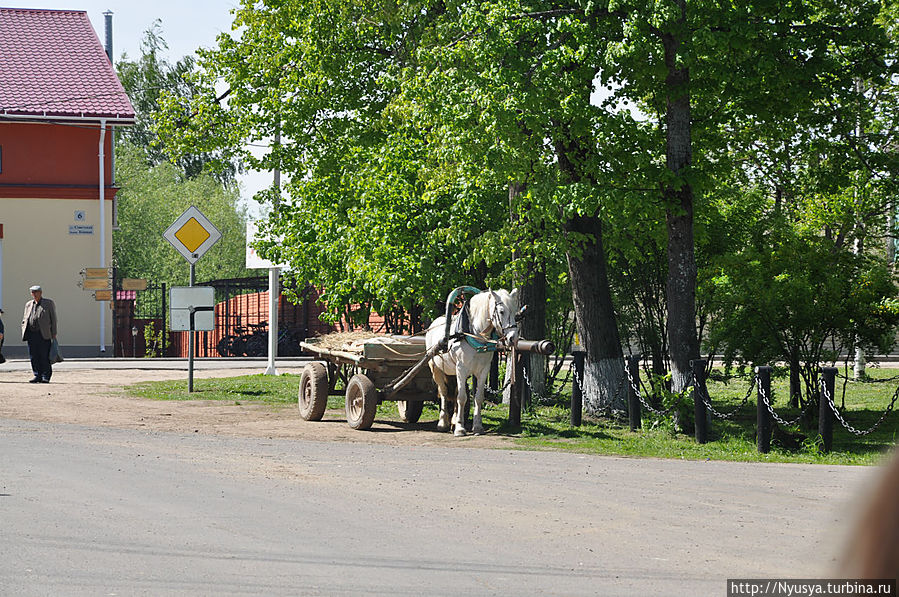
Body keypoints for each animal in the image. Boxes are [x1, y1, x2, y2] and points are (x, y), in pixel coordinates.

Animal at [428, 286, 520, 436]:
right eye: (501, 311)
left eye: (516, 313)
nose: (513, 338)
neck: (474, 335)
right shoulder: (461, 369)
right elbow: (462, 397)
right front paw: (460, 428)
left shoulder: (483, 370)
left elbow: (478, 397)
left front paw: (477, 426)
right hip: (437, 370)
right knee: (444, 393)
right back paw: (443, 423)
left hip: (453, 372)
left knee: (453, 392)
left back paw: (453, 420)